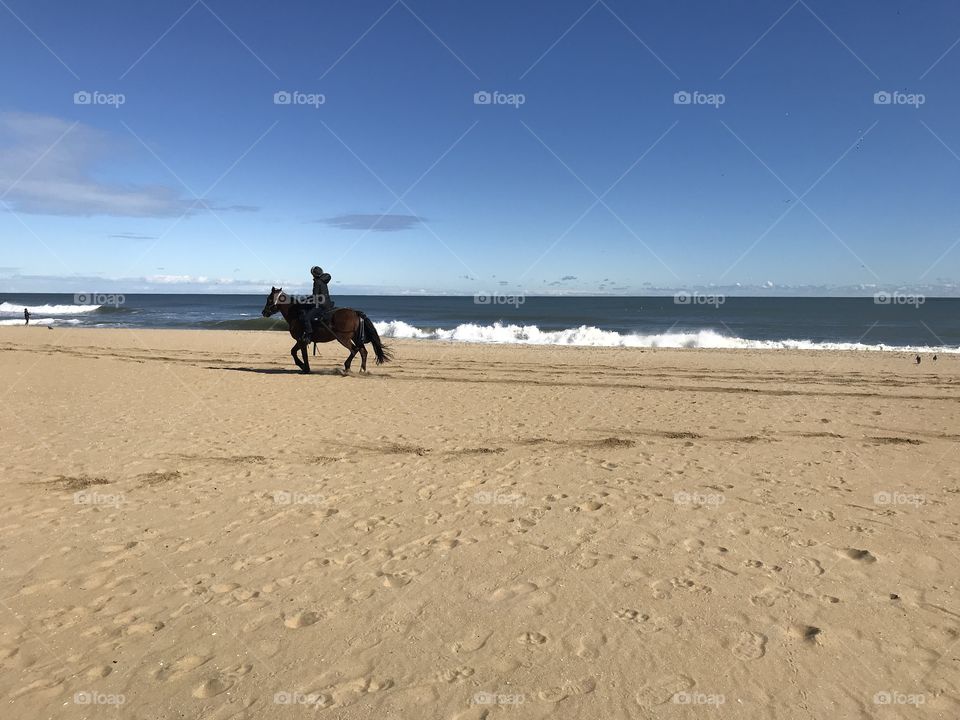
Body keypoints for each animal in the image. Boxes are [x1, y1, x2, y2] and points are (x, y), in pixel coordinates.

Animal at [261, 287, 392, 374]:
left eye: (269, 299)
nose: (264, 312)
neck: (296, 314)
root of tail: (355, 312)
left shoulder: (302, 341)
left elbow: (302, 354)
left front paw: (305, 368)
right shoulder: (300, 341)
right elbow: (293, 352)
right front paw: (302, 366)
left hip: (343, 338)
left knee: (354, 350)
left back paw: (347, 367)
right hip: (354, 338)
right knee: (363, 351)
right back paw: (362, 370)